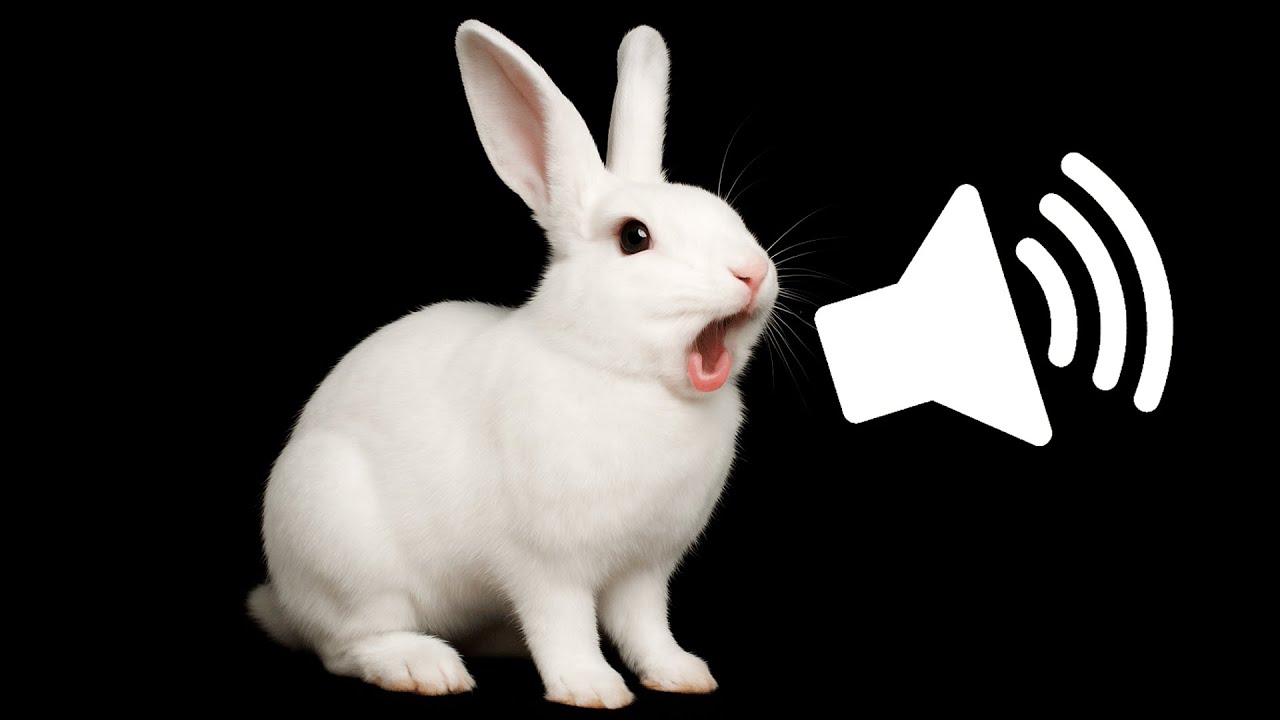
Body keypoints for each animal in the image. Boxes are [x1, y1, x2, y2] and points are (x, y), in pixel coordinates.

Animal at [247, 19, 778, 709]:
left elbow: (645, 626)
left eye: (726, 214)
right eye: (634, 237)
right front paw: (590, 687)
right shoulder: (548, 566)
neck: (616, 372)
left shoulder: (643, 569)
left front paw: (681, 674)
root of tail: (285, 600)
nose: (754, 273)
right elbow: (564, 624)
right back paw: (423, 667)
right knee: (348, 643)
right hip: (342, 545)